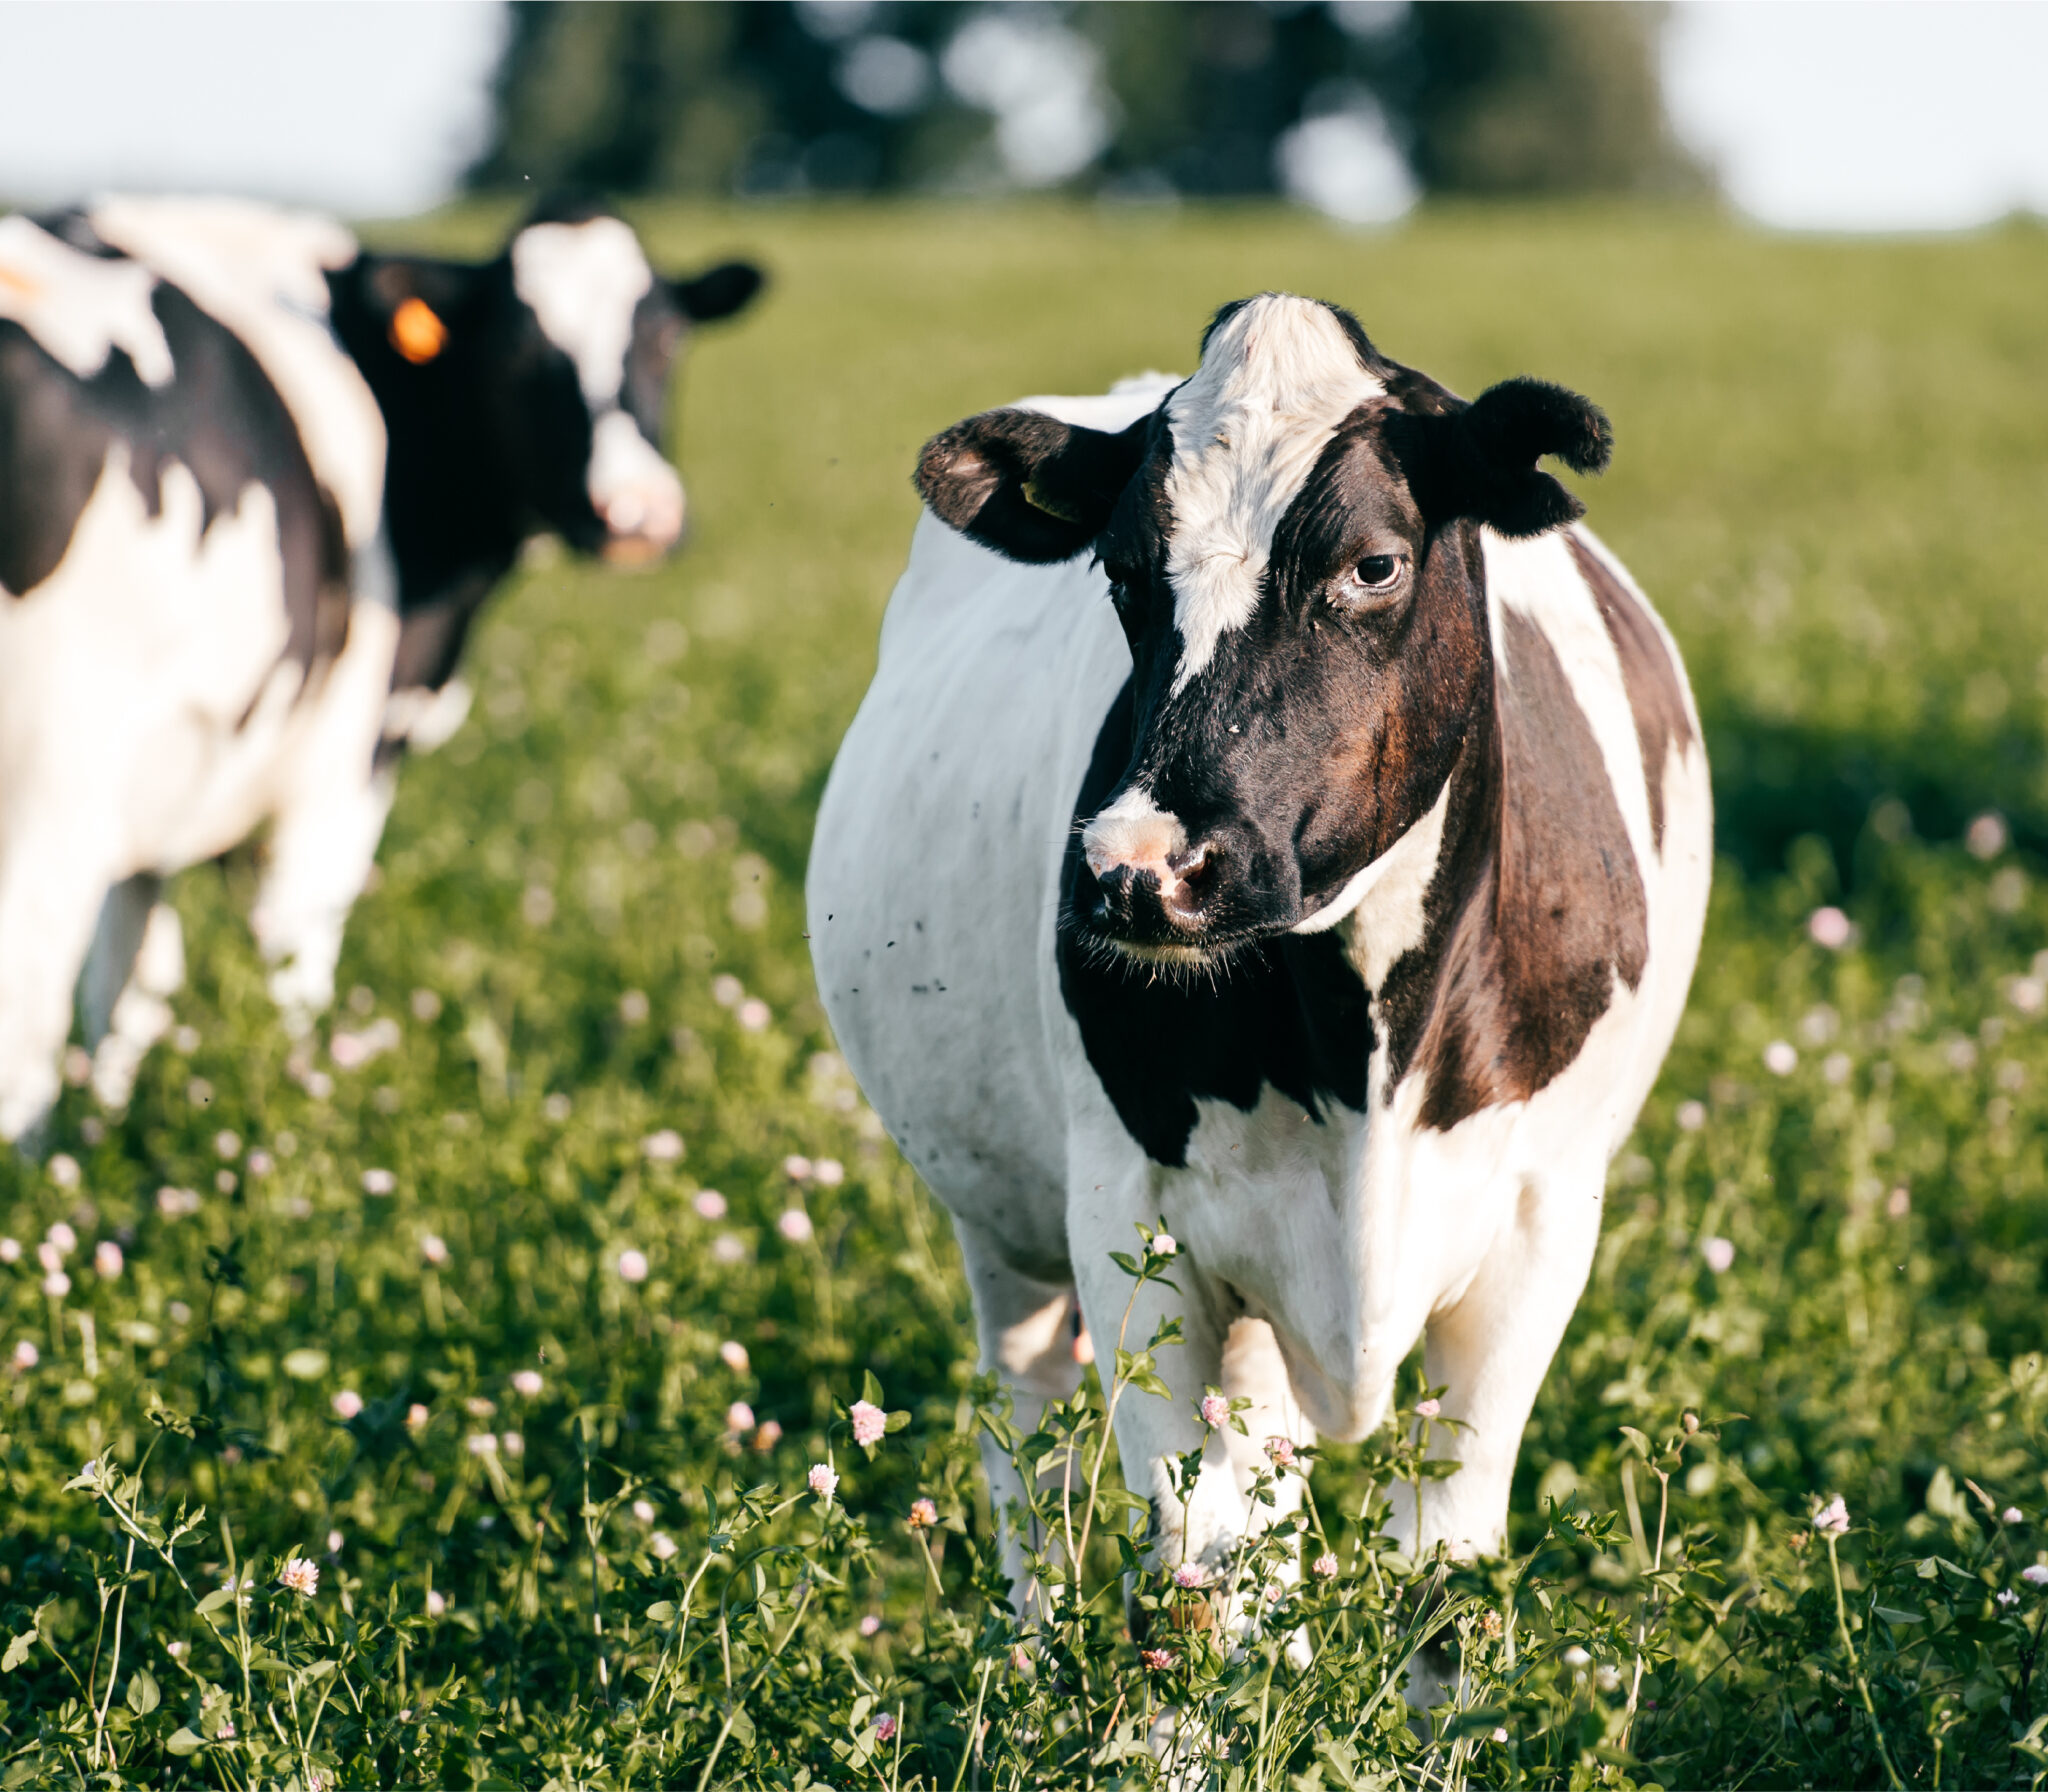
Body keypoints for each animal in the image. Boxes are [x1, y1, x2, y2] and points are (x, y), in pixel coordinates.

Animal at [0, 196, 765, 1138]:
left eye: (665, 339)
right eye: (516, 353)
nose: (637, 513)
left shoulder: (165, 790)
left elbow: (130, 992)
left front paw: (108, 1135)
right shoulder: (341, 766)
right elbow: (292, 967)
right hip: (49, 786)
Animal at [806, 296, 1703, 1622]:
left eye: (1372, 563)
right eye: (1122, 572)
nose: (1139, 868)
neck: (1364, 1044)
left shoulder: (1538, 1225)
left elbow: (1443, 1571)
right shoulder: (1130, 1216)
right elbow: (1201, 1576)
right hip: (1005, 1230)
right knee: (1028, 1441)